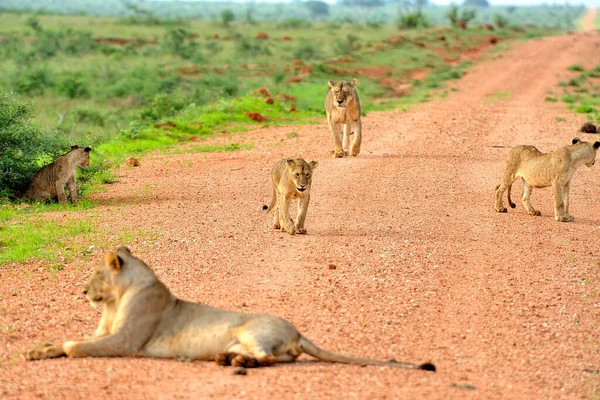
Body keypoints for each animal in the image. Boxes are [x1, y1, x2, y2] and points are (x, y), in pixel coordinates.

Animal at [24, 247, 436, 372]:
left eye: (95, 274)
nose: (82, 291)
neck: (114, 300)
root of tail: (299, 331)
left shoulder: (124, 341)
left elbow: (74, 345)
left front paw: (53, 350)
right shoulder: (104, 332)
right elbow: (65, 339)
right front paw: (36, 350)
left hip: (249, 329)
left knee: (268, 359)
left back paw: (238, 364)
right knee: (274, 358)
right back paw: (228, 359)